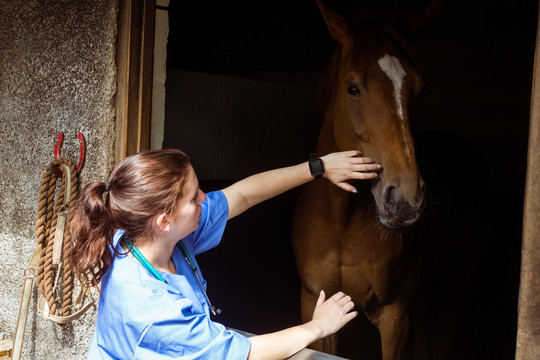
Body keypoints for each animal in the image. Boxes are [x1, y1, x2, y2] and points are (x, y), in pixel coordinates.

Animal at [294, 1, 488, 358]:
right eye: (352, 88)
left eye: (420, 87)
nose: (405, 200)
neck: (341, 223)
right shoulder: (314, 302)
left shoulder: (394, 315)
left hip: (459, 275)